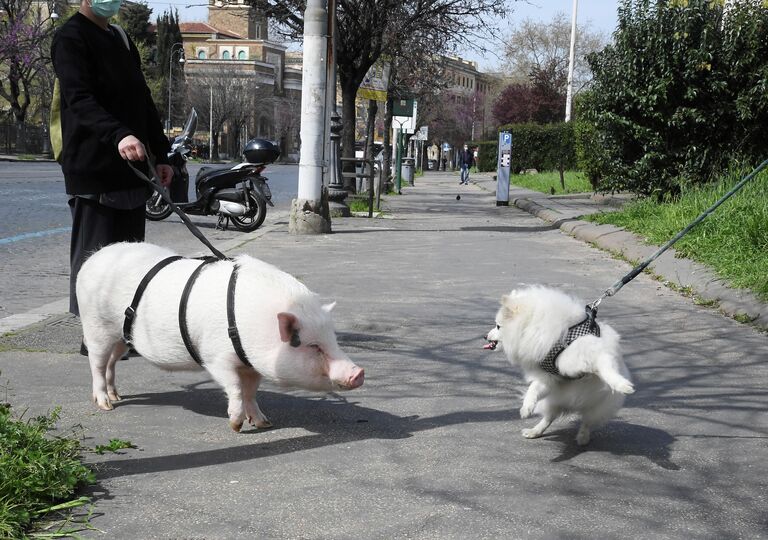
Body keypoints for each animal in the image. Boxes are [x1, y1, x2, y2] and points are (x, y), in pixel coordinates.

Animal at [76, 243, 364, 432]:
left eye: (333, 340)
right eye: (312, 345)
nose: (359, 373)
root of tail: (92, 258)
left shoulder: (251, 362)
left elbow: (251, 391)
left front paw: (264, 423)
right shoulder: (216, 358)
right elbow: (234, 387)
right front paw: (236, 426)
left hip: (121, 338)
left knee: (111, 362)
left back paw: (117, 397)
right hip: (95, 325)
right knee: (96, 363)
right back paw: (106, 405)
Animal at [486, 284, 636, 446]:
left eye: (498, 326)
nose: (485, 336)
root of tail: (573, 405)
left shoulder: (596, 353)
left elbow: (606, 370)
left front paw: (621, 385)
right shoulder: (548, 378)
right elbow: (533, 389)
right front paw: (526, 408)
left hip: (597, 408)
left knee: (587, 422)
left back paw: (582, 437)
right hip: (551, 402)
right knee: (549, 418)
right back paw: (535, 431)